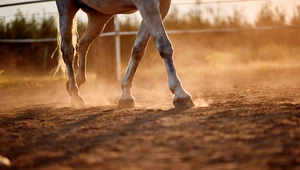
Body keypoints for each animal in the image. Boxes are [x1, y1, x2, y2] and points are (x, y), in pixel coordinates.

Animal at [56, 0, 196, 108]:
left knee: (83, 42)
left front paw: (126, 95)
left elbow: (138, 49)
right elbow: (163, 44)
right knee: (67, 50)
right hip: (67, 8)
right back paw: (75, 95)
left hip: (100, 15)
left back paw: (76, 82)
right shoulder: (148, 4)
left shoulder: (161, 6)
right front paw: (180, 94)